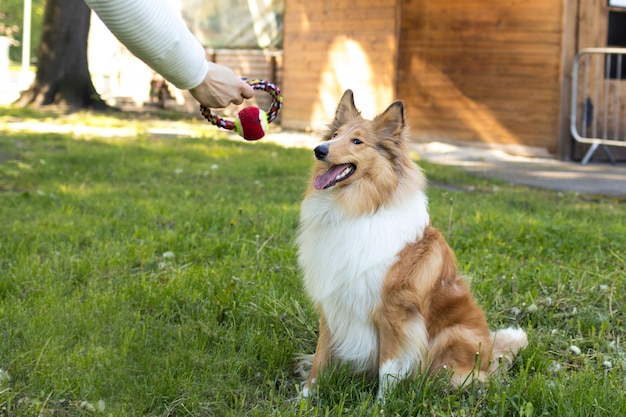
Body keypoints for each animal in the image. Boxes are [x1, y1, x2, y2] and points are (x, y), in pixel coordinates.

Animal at [294, 89, 524, 398]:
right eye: (335, 135)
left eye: (357, 141)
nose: (319, 149)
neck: (357, 209)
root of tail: (489, 358)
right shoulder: (333, 302)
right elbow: (320, 356)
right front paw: (305, 397)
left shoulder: (395, 311)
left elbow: (388, 367)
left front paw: (380, 403)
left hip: (453, 334)